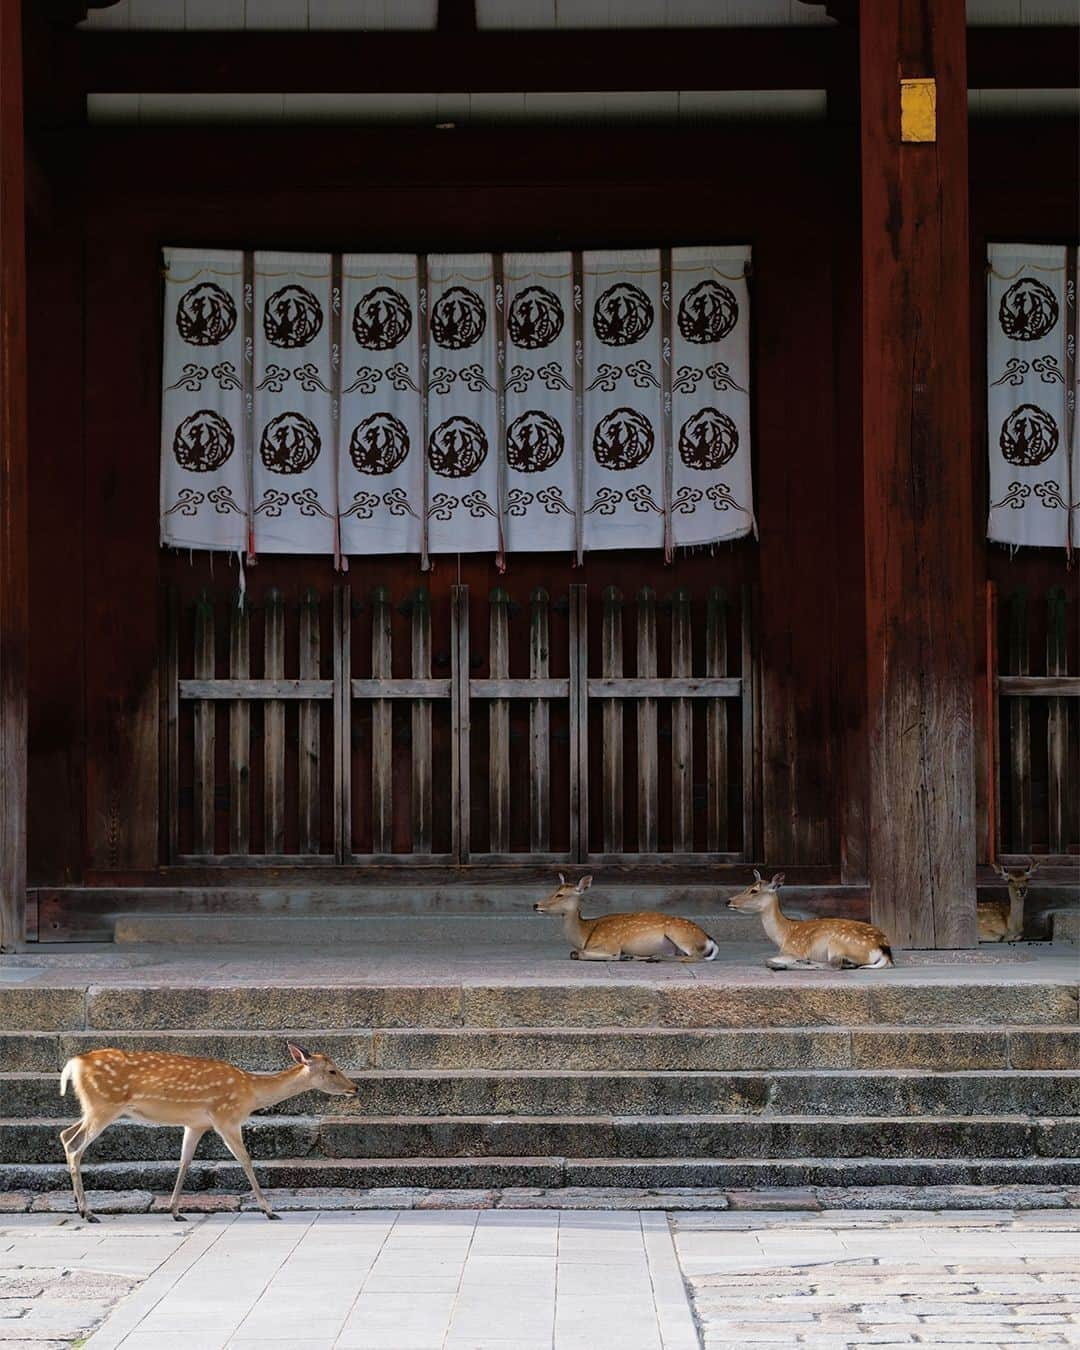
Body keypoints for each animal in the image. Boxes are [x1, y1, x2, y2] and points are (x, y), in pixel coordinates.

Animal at [59, 1042, 356, 1225]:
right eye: (332, 1070)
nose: (355, 1087)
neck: (251, 1093)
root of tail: (74, 1063)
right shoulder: (226, 1117)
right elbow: (246, 1160)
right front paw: (269, 1210)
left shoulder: (196, 1124)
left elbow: (184, 1162)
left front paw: (175, 1211)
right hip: (104, 1105)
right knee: (75, 1145)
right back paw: (87, 1212)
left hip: (92, 1107)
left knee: (65, 1134)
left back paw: (78, 1205)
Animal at [534, 874, 723, 961]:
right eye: (554, 890)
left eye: (560, 895)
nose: (535, 905)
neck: (585, 935)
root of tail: (709, 940)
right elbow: (574, 952)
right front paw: (625, 956)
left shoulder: (610, 944)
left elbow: (578, 953)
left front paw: (616, 957)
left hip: (679, 934)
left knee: (695, 956)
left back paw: (656, 958)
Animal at [723, 874, 896, 972]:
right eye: (748, 886)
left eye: (754, 891)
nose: (728, 901)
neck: (784, 934)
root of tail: (884, 950)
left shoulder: (793, 950)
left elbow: (766, 959)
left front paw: (783, 963)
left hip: (838, 943)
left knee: (834, 965)